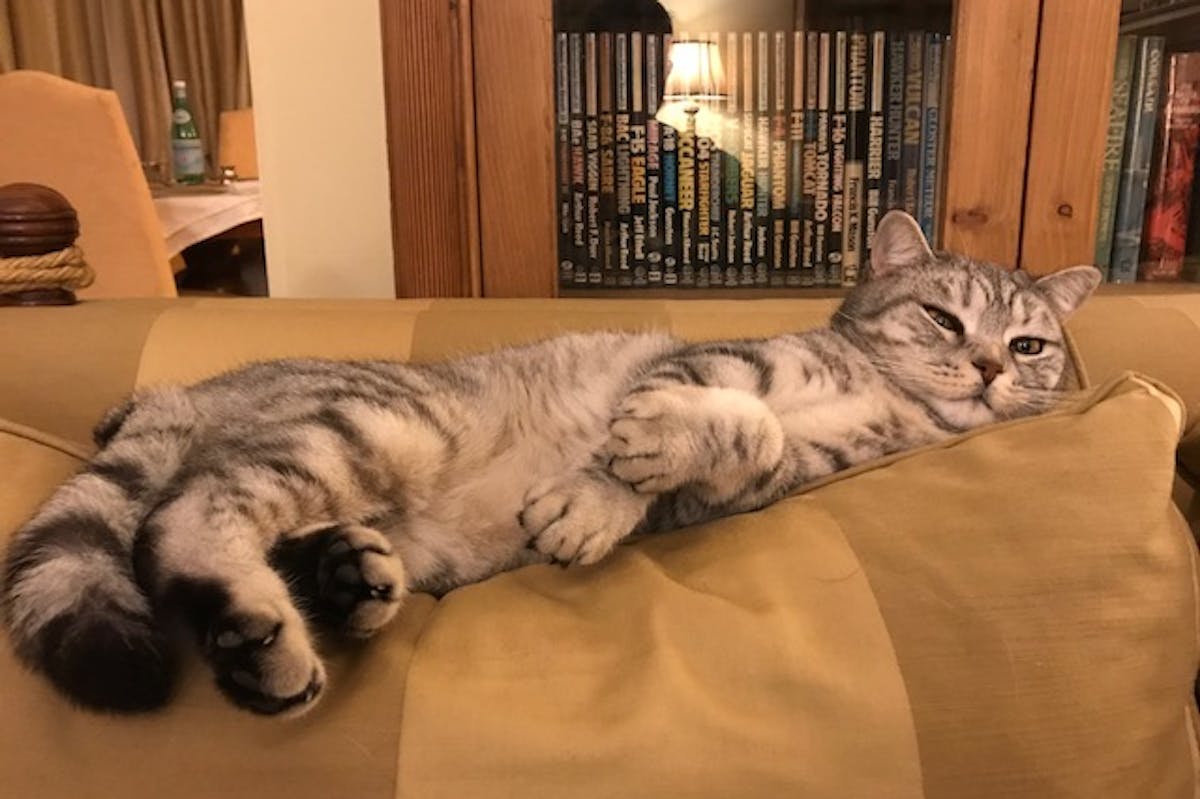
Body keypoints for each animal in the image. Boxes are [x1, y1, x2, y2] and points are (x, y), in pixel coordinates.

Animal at [0, 209, 1099, 715]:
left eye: (1031, 344)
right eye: (943, 316)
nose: (992, 367)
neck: (882, 396)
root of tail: (181, 392)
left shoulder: (775, 476)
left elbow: (752, 441)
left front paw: (611, 488)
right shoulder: (704, 362)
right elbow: (712, 408)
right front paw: (606, 479)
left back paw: (339, 583)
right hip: (373, 428)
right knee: (180, 519)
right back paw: (259, 630)